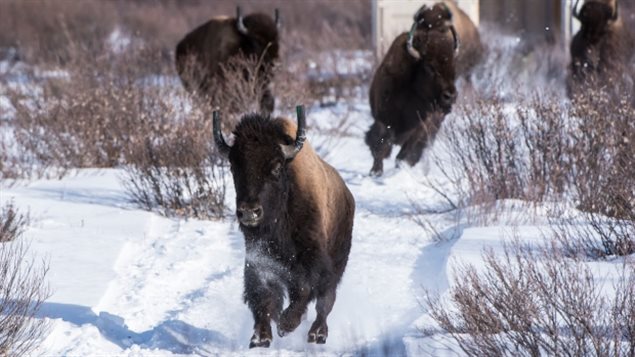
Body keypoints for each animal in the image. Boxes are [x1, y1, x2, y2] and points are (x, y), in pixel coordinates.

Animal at [215, 106, 356, 348]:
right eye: (233, 166)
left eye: (276, 166)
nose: (249, 211)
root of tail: (348, 195)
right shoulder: (259, 259)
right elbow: (262, 295)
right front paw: (260, 338)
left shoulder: (311, 260)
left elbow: (305, 290)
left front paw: (285, 325)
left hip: (337, 263)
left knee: (326, 301)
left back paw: (317, 334)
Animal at [366, 7, 460, 177]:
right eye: (430, 67)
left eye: (453, 66)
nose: (450, 96)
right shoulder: (383, 118)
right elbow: (380, 143)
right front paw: (375, 172)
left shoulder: (422, 127)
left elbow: (407, 153)